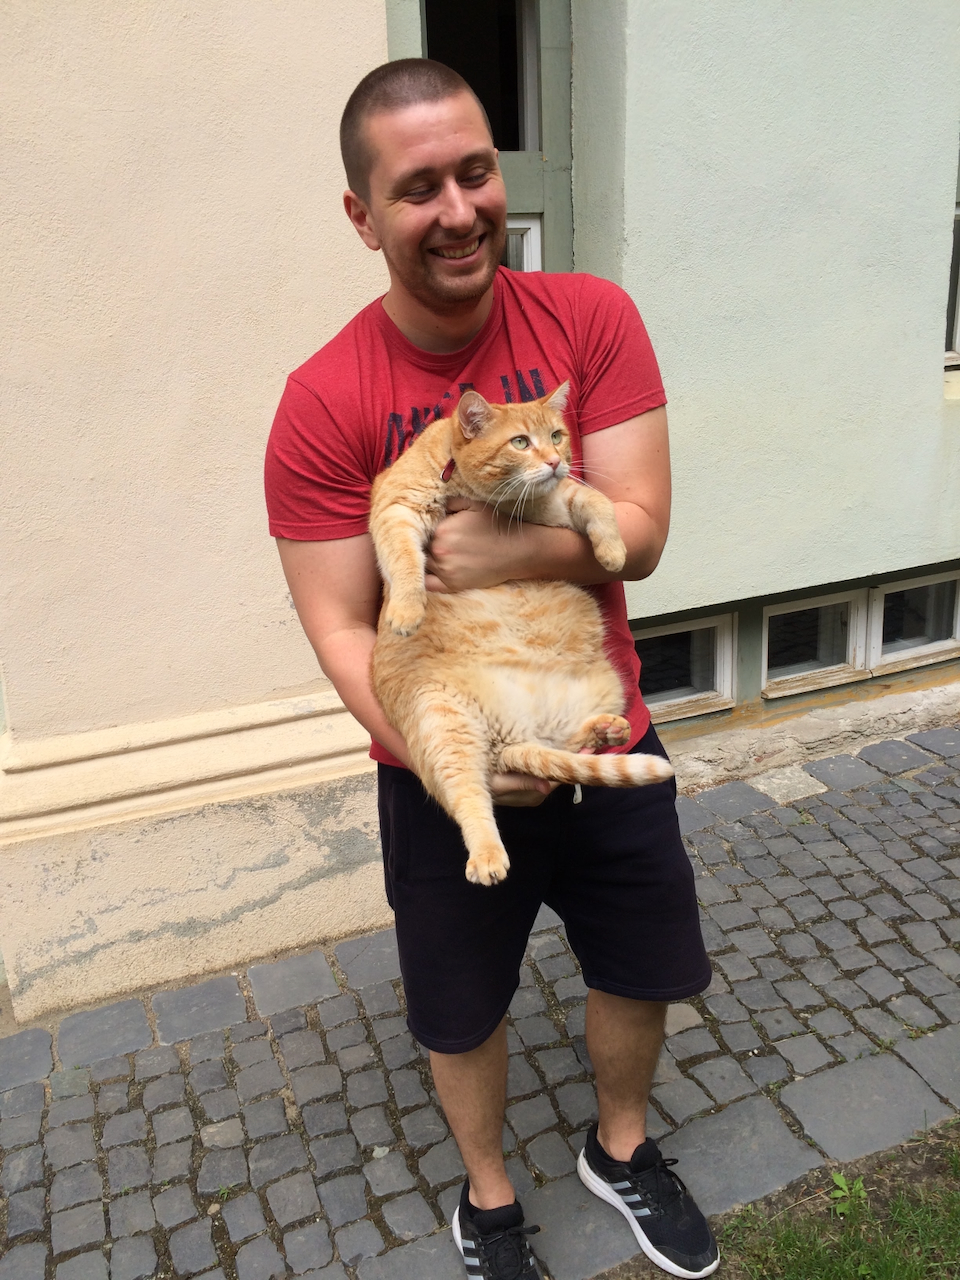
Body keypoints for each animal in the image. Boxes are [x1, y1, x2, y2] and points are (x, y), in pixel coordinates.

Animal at [371, 384, 675, 885]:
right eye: (519, 442)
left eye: (556, 435)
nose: (554, 461)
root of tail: (505, 739)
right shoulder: (397, 507)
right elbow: (403, 561)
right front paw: (407, 609)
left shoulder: (561, 499)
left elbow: (597, 503)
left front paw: (612, 552)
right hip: (443, 723)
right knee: (469, 798)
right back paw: (487, 857)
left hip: (597, 694)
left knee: (565, 752)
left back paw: (607, 730)